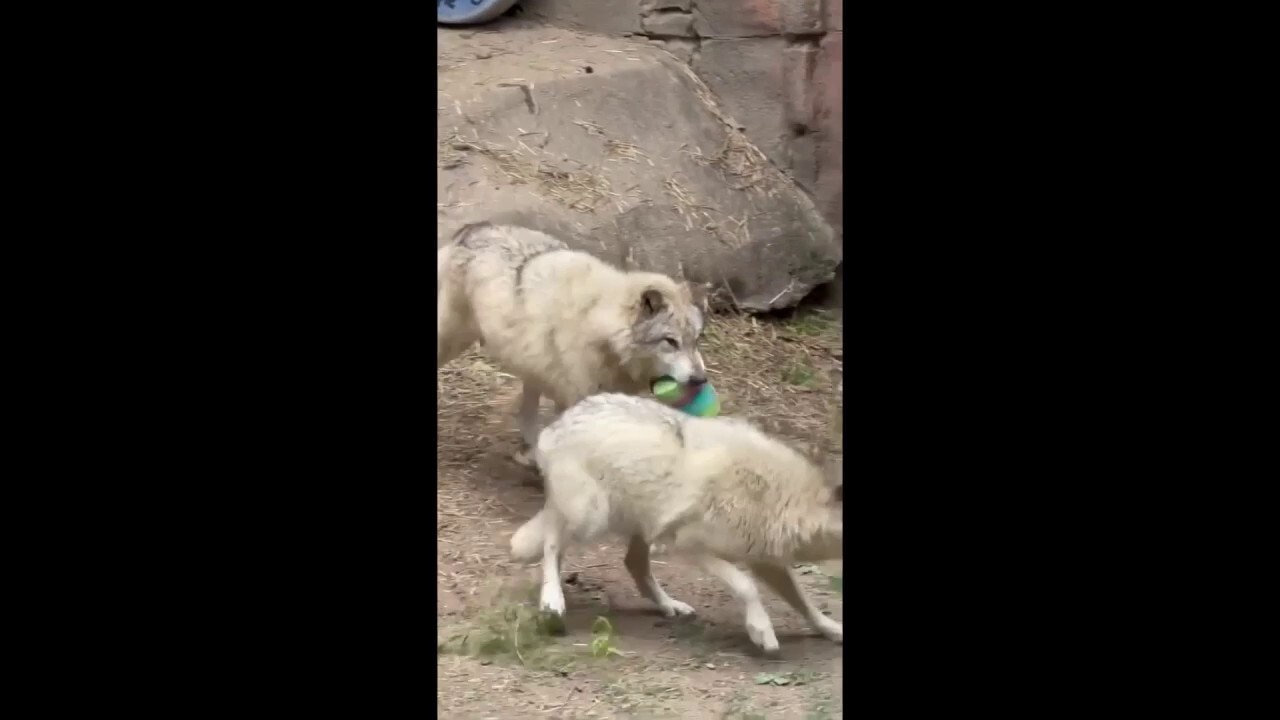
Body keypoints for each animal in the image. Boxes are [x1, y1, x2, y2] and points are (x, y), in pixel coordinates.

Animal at [437, 222, 710, 461]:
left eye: (695, 340)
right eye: (670, 341)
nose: (700, 379)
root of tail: (474, 228)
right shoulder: (577, 397)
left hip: (530, 369)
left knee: (527, 417)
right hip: (453, 342)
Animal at [509, 394, 844, 653]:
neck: (782, 497)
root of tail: (556, 425)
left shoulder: (767, 562)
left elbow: (805, 602)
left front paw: (831, 629)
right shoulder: (689, 545)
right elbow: (746, 587)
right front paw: (761, 631)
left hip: (641, 524)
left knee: (633, 564)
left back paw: (669, 605)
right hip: (591, 517)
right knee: (552, 543)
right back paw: (552, 601)